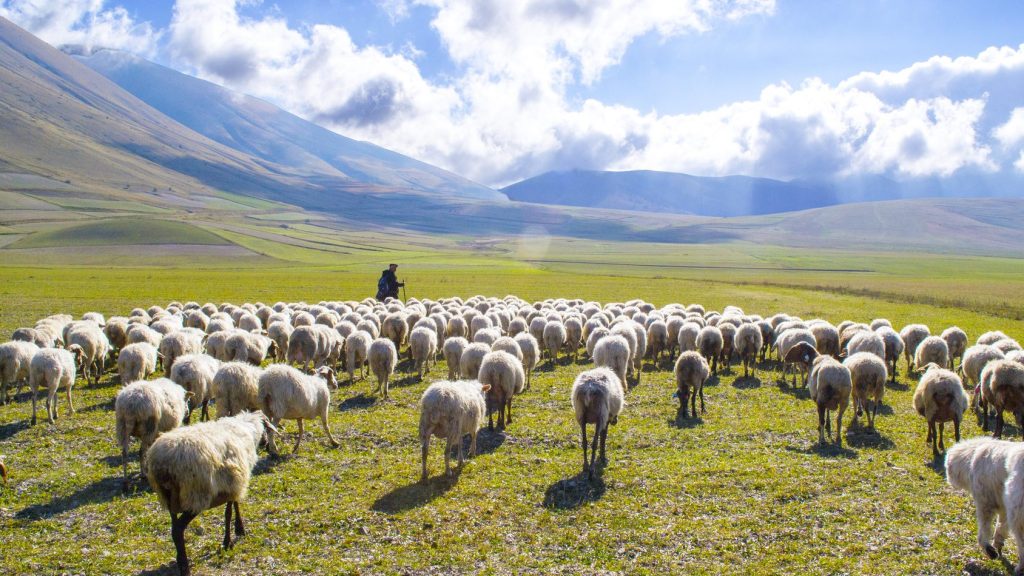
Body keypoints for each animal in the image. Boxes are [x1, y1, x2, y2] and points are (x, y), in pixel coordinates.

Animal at [145, 411, 273, 576]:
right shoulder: (234, 483)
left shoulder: (233, 482)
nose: (266, 444)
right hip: (196, 495)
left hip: (169, 498)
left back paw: (180, 559)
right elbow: (229, 512)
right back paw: (185, 567)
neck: (248, 430)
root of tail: (163, 464)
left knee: (174, 528)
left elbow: (234, 506)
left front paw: (238, 529)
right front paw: (229, 540)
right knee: (179, 529)